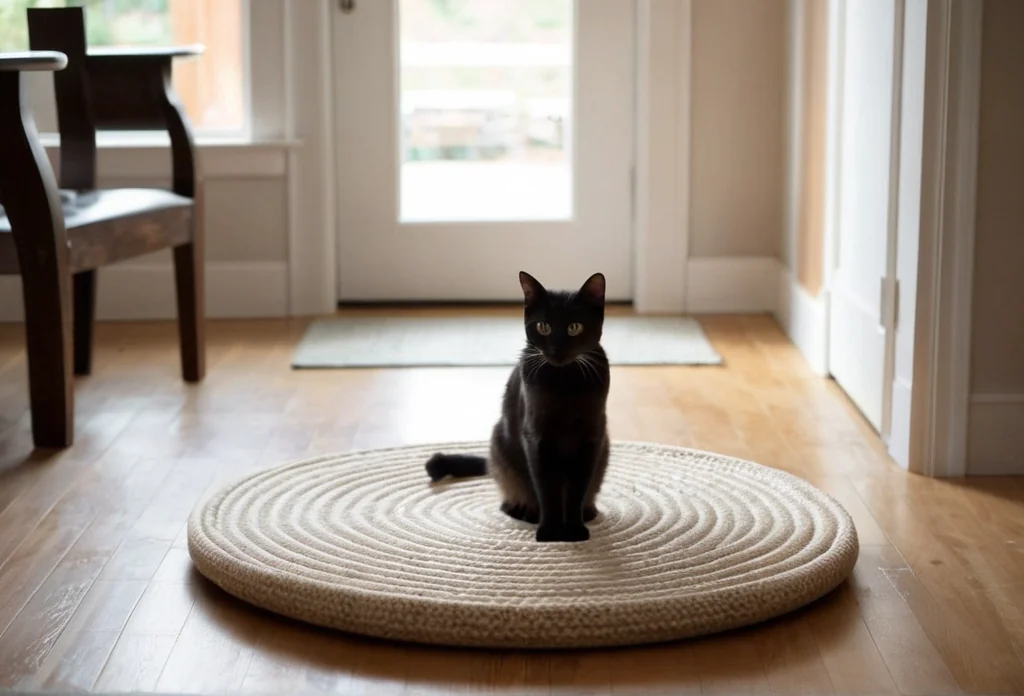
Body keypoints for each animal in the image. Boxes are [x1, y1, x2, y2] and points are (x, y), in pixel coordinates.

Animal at [428, 272, 610, 544]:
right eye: (543, 327)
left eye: (574, 327)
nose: (557, 350)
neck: (564, 383)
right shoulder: (536, 438)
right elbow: (547, 488)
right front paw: (551, 533)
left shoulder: (591, 438)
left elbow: (577, 489)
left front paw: (575, 531)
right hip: (501, 446)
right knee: (516, 494)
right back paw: (524, 511)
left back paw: (587, 512)